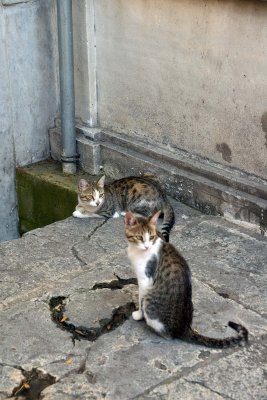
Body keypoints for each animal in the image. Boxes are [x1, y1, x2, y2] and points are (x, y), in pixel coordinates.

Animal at [125, 209, 249, 346]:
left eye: (151, 237)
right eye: (139, 237)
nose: (147, 246)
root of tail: (185, 328)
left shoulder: (145, 280)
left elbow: (140, 299)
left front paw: (138, 314)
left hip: (150, 301)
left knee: (166, 334)